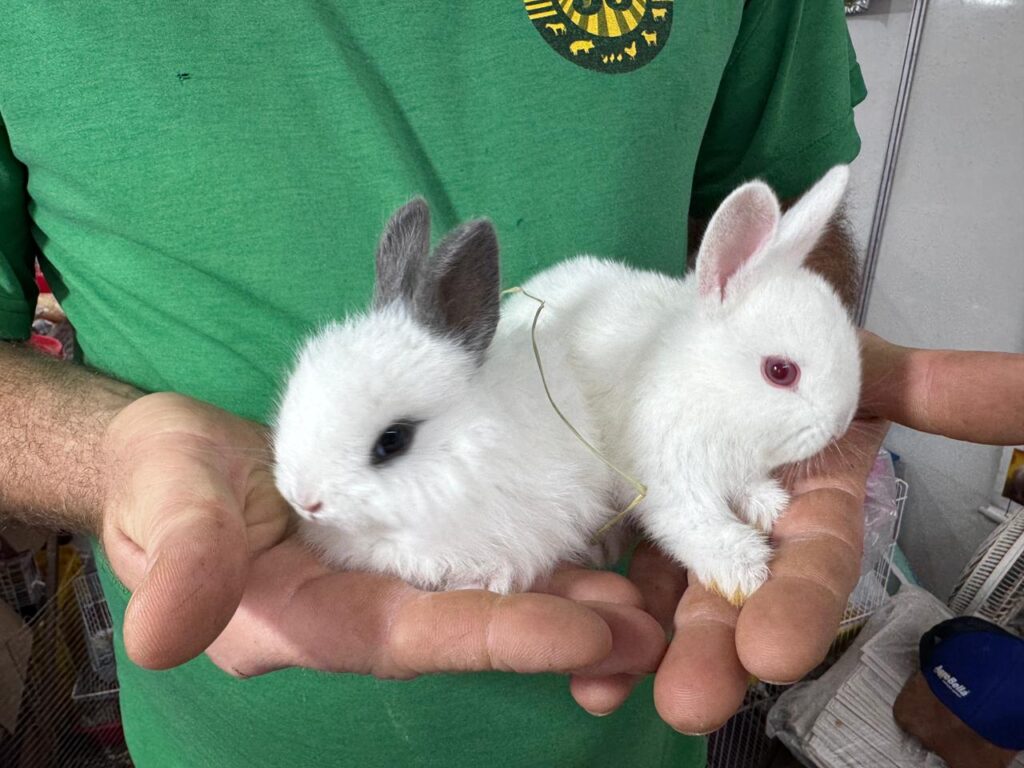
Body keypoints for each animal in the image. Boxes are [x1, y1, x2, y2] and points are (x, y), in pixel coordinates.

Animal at [506, 165, 862, 604]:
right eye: (780, 371)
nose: (840, 425)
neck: (707, 387)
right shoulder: (671, 479)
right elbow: (695, 524)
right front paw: (742, 573)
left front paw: (768, 505)